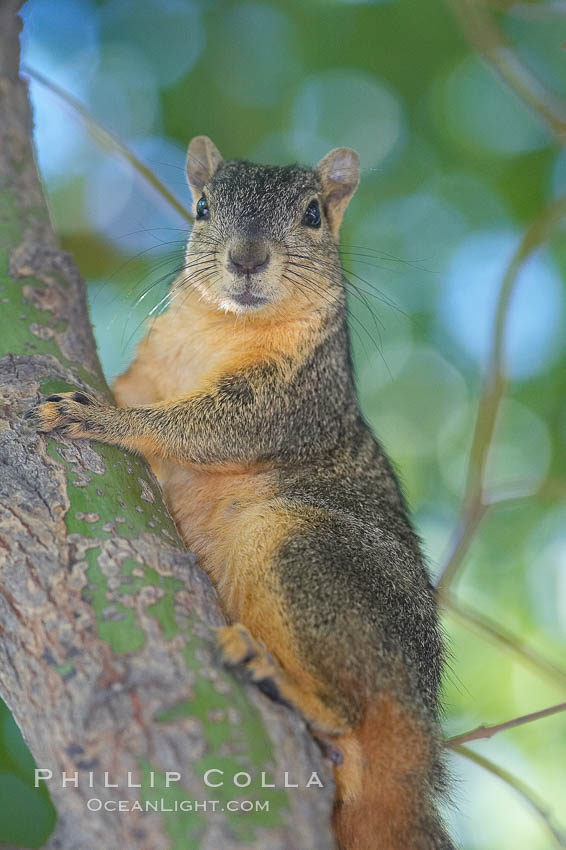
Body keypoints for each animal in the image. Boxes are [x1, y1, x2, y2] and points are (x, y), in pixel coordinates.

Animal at [28, 136, 460, 844]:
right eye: (203, 207)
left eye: (313, 214)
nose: (247, 259)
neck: (220, 329)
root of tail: (424, 747)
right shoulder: (149, 370)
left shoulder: (294, 398)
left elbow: (210, 429)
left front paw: (108, 421)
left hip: (304, 551)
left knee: (351, 717)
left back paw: (283, 684)